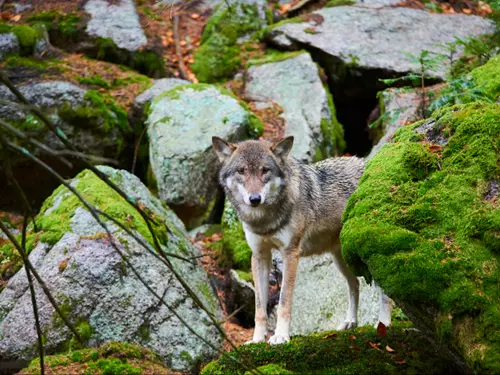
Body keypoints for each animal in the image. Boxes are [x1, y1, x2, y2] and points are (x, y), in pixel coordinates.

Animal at [211, 137, 390, 346]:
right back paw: (350, 322)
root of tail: (371, 163)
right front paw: (257, 340)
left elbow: (283, 302)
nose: (254, 199)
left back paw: (384, 324)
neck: (265, 220)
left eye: (265, 170)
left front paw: (280, 336)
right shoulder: (259, 256)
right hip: (341, 259)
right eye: (241, 171)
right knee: (354, 284)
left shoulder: (290, 253)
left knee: (384, 289)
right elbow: (259, 309)